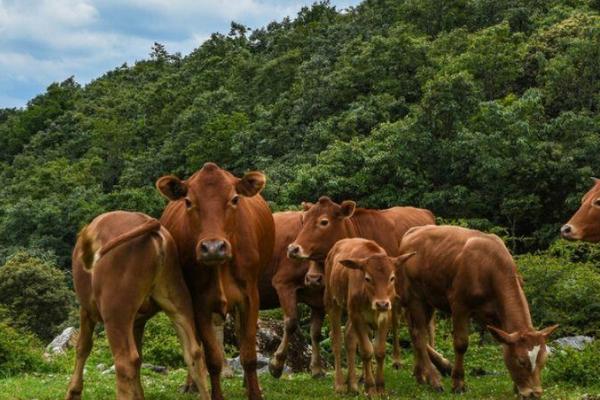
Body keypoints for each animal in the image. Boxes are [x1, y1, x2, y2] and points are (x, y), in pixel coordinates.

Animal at [65, 211, 209, 398]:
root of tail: (150, 222)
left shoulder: (86, 310)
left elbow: (83, 346)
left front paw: (73, 392)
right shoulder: (138, 321)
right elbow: (139, 359)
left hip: (116, 311)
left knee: (125, 361)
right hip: (178, 297)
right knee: (194, 353)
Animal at [157, 162, 274, 400]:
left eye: (235, 199)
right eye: (188, 201)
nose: (213, 248)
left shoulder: (250, 297)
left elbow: (248, 353)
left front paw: (255, 392)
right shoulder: (199, 302)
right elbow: (212, 358)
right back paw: (191, 384)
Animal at [324, 239, 412, 396]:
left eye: (392, 278)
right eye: (367, 278)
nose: (382, 303)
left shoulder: (385, 316)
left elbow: (379, 351)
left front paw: (380, 387)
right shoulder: (357, 315)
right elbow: (366, 351)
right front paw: (370, 388)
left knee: (349, 336)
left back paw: (353, 385)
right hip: (332, 301)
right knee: (336, 340)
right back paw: (340, 384)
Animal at [398, 225, 556, 396]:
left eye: (543, 360)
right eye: (521, 361)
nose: (535, 393)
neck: (489, 266)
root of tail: (413, 231)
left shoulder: (497, 315)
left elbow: (505, 345)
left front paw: (516, 387)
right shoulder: (459, 305)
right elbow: (461, 343)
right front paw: (458, 383)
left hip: (429, 299)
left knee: (414, 332)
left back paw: (421, 375)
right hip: (414, 297)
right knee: (419, 335)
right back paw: (434, 379)